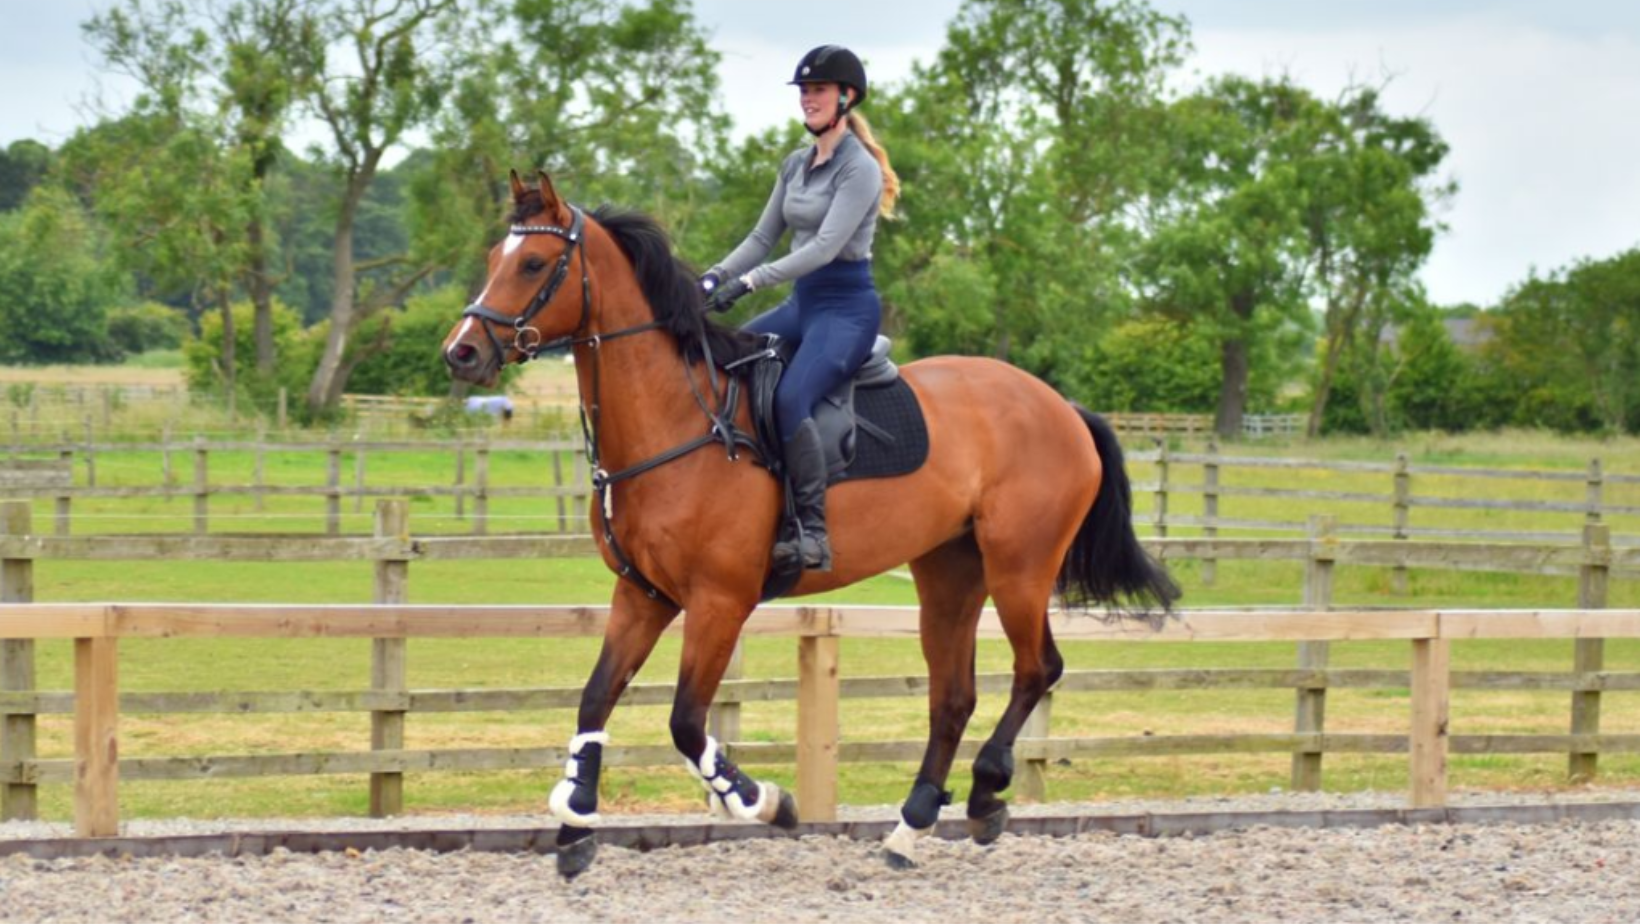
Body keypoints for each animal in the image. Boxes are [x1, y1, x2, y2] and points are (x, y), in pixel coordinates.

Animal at [442, 171, 1174, 873]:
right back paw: (910, 828)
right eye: (494, 257)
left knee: (1036, 668)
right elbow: (595, 699)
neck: (678, 418)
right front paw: (574, 825)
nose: (462, 352)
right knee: (953, 696)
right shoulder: (644, 595)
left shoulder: (719, 601)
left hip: (1019, 567)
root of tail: (1060, 405)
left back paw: (986, 793)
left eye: (533, 263)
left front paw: (761, 800)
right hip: (949, 572)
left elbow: (686, 722)